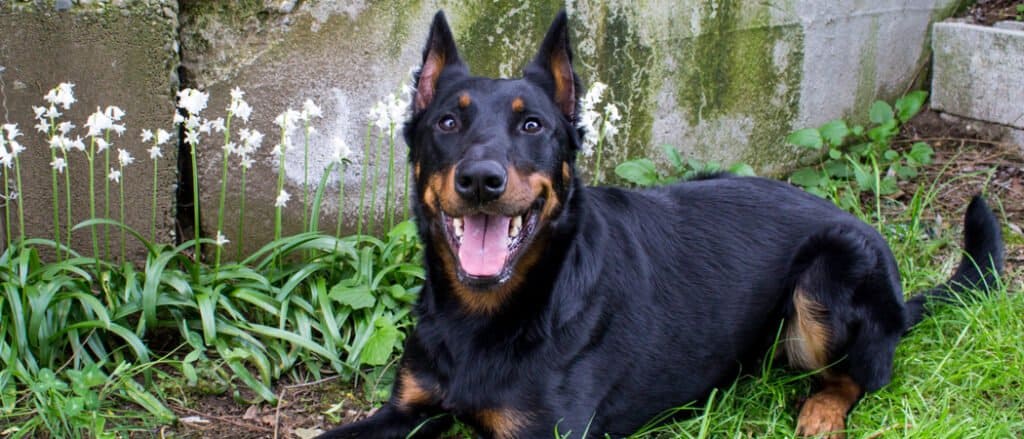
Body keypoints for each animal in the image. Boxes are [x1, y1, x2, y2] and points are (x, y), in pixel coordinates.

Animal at [321, 10, 1007, 437]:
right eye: (447, 122)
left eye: (532, 124)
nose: (481, 181)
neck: (488, 314)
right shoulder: (408, 410)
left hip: (829, 277)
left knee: (867, 373)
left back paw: (821, 412)